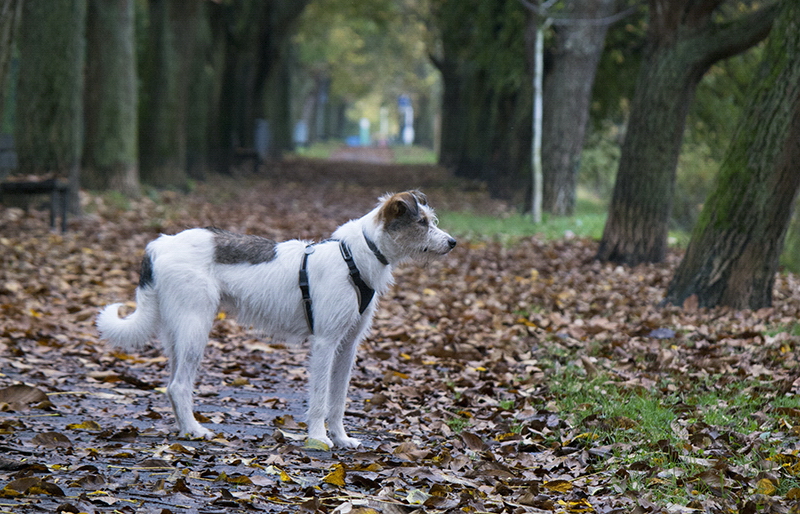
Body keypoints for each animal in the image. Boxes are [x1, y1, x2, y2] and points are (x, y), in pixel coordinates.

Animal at [97, 190, 454, 446]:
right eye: (422, 223)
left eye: (431, 220)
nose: (452, 242)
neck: (354, 256)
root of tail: (160, 244)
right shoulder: (325, 344)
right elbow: (320, 397)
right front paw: (318, 438)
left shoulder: (347, 346)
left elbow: (338, 399)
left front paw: (341, 438)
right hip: (195, 329)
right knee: (179, 386)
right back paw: (196, 432)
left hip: (178, 333)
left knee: (171, 385)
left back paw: (184, 430)